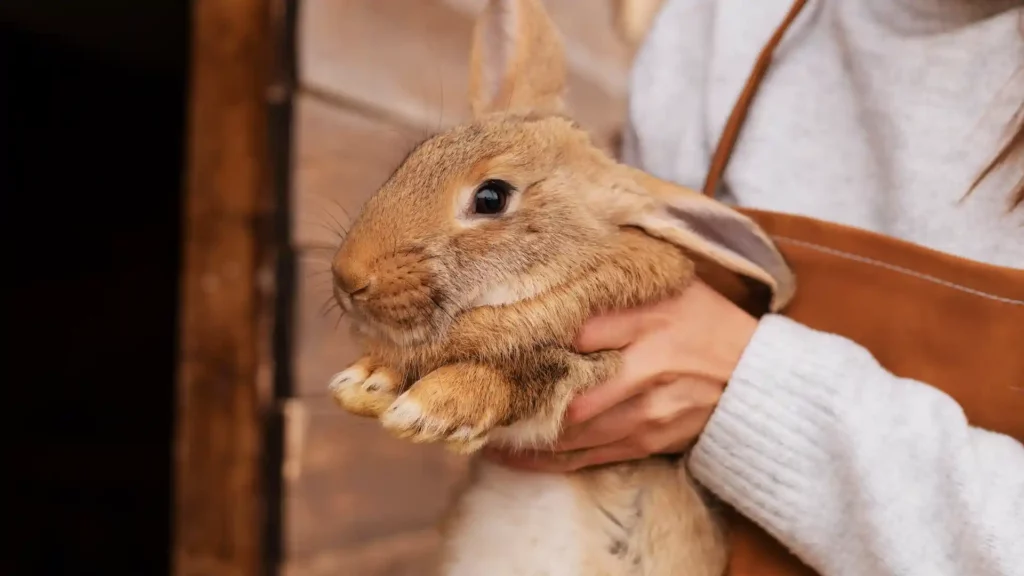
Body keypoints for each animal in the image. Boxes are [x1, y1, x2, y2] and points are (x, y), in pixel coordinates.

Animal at [325, 0, 796, 574]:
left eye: (491, 197)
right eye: (414, 158)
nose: (348, 277)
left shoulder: (591, 371)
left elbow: (530, 374)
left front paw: (435, 407)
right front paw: (368, 381)